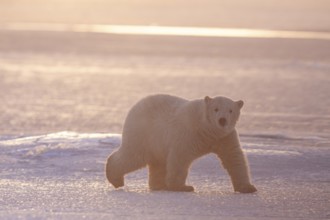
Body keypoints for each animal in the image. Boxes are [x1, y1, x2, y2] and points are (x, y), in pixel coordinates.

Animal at [107, 94, 256, 192]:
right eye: (216, 109)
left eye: (231, 110)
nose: (222, 120)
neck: (206, 129)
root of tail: (134, 107)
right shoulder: (189, 133)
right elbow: (180, 157)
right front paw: (183, 187)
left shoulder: (225, 137)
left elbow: (234, 157)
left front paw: (248, 187)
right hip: (144, 133)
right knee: (134, 156)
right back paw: (115, 177)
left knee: (157, 162)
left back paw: (159, 185)